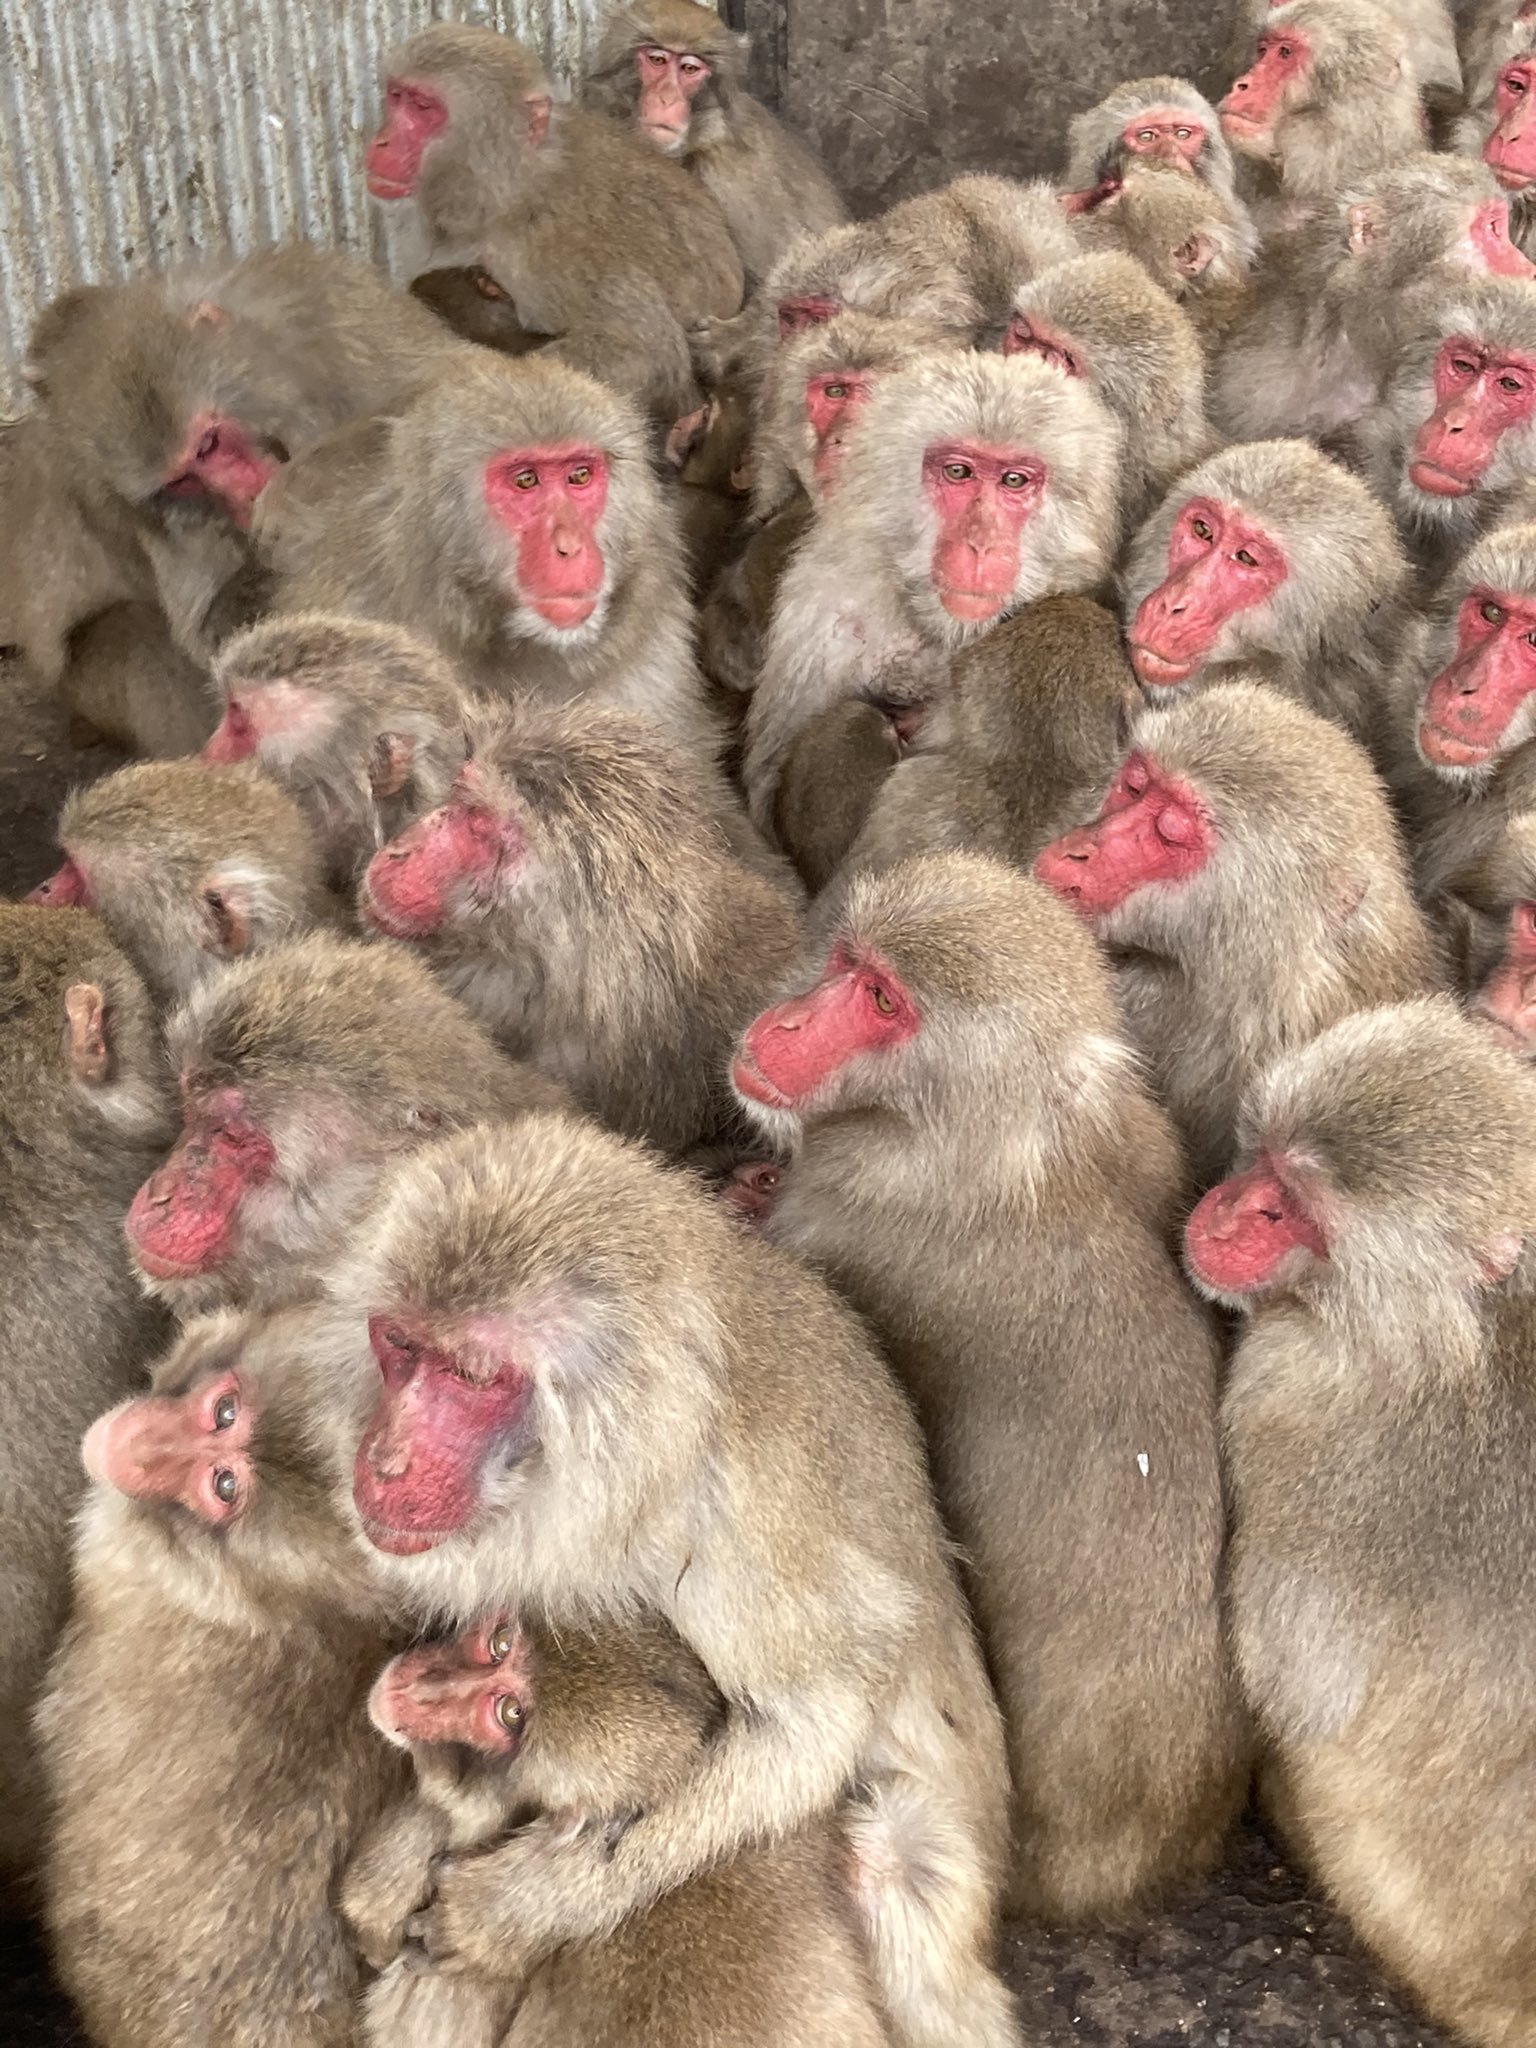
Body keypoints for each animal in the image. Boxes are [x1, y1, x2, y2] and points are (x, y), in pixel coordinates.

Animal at [365, 22, 744, 421]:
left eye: (424, 107)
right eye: (397, 96)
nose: (382, 142)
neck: (504, 188)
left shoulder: (548, 249)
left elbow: (646, 355)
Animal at [730, 850, 1247, 1918]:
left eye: (883, 1002)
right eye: (849, 964)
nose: (789, 1023)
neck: (988, 1140)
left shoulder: (844, 1225)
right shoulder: (1149, 1139)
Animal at [1190, 994, 1536, 2048]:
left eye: (1296, 1204)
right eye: (1265, 1159)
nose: (1231, 1207)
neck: (1471, 1321)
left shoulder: (1290, 1398)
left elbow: (1298, 1677)